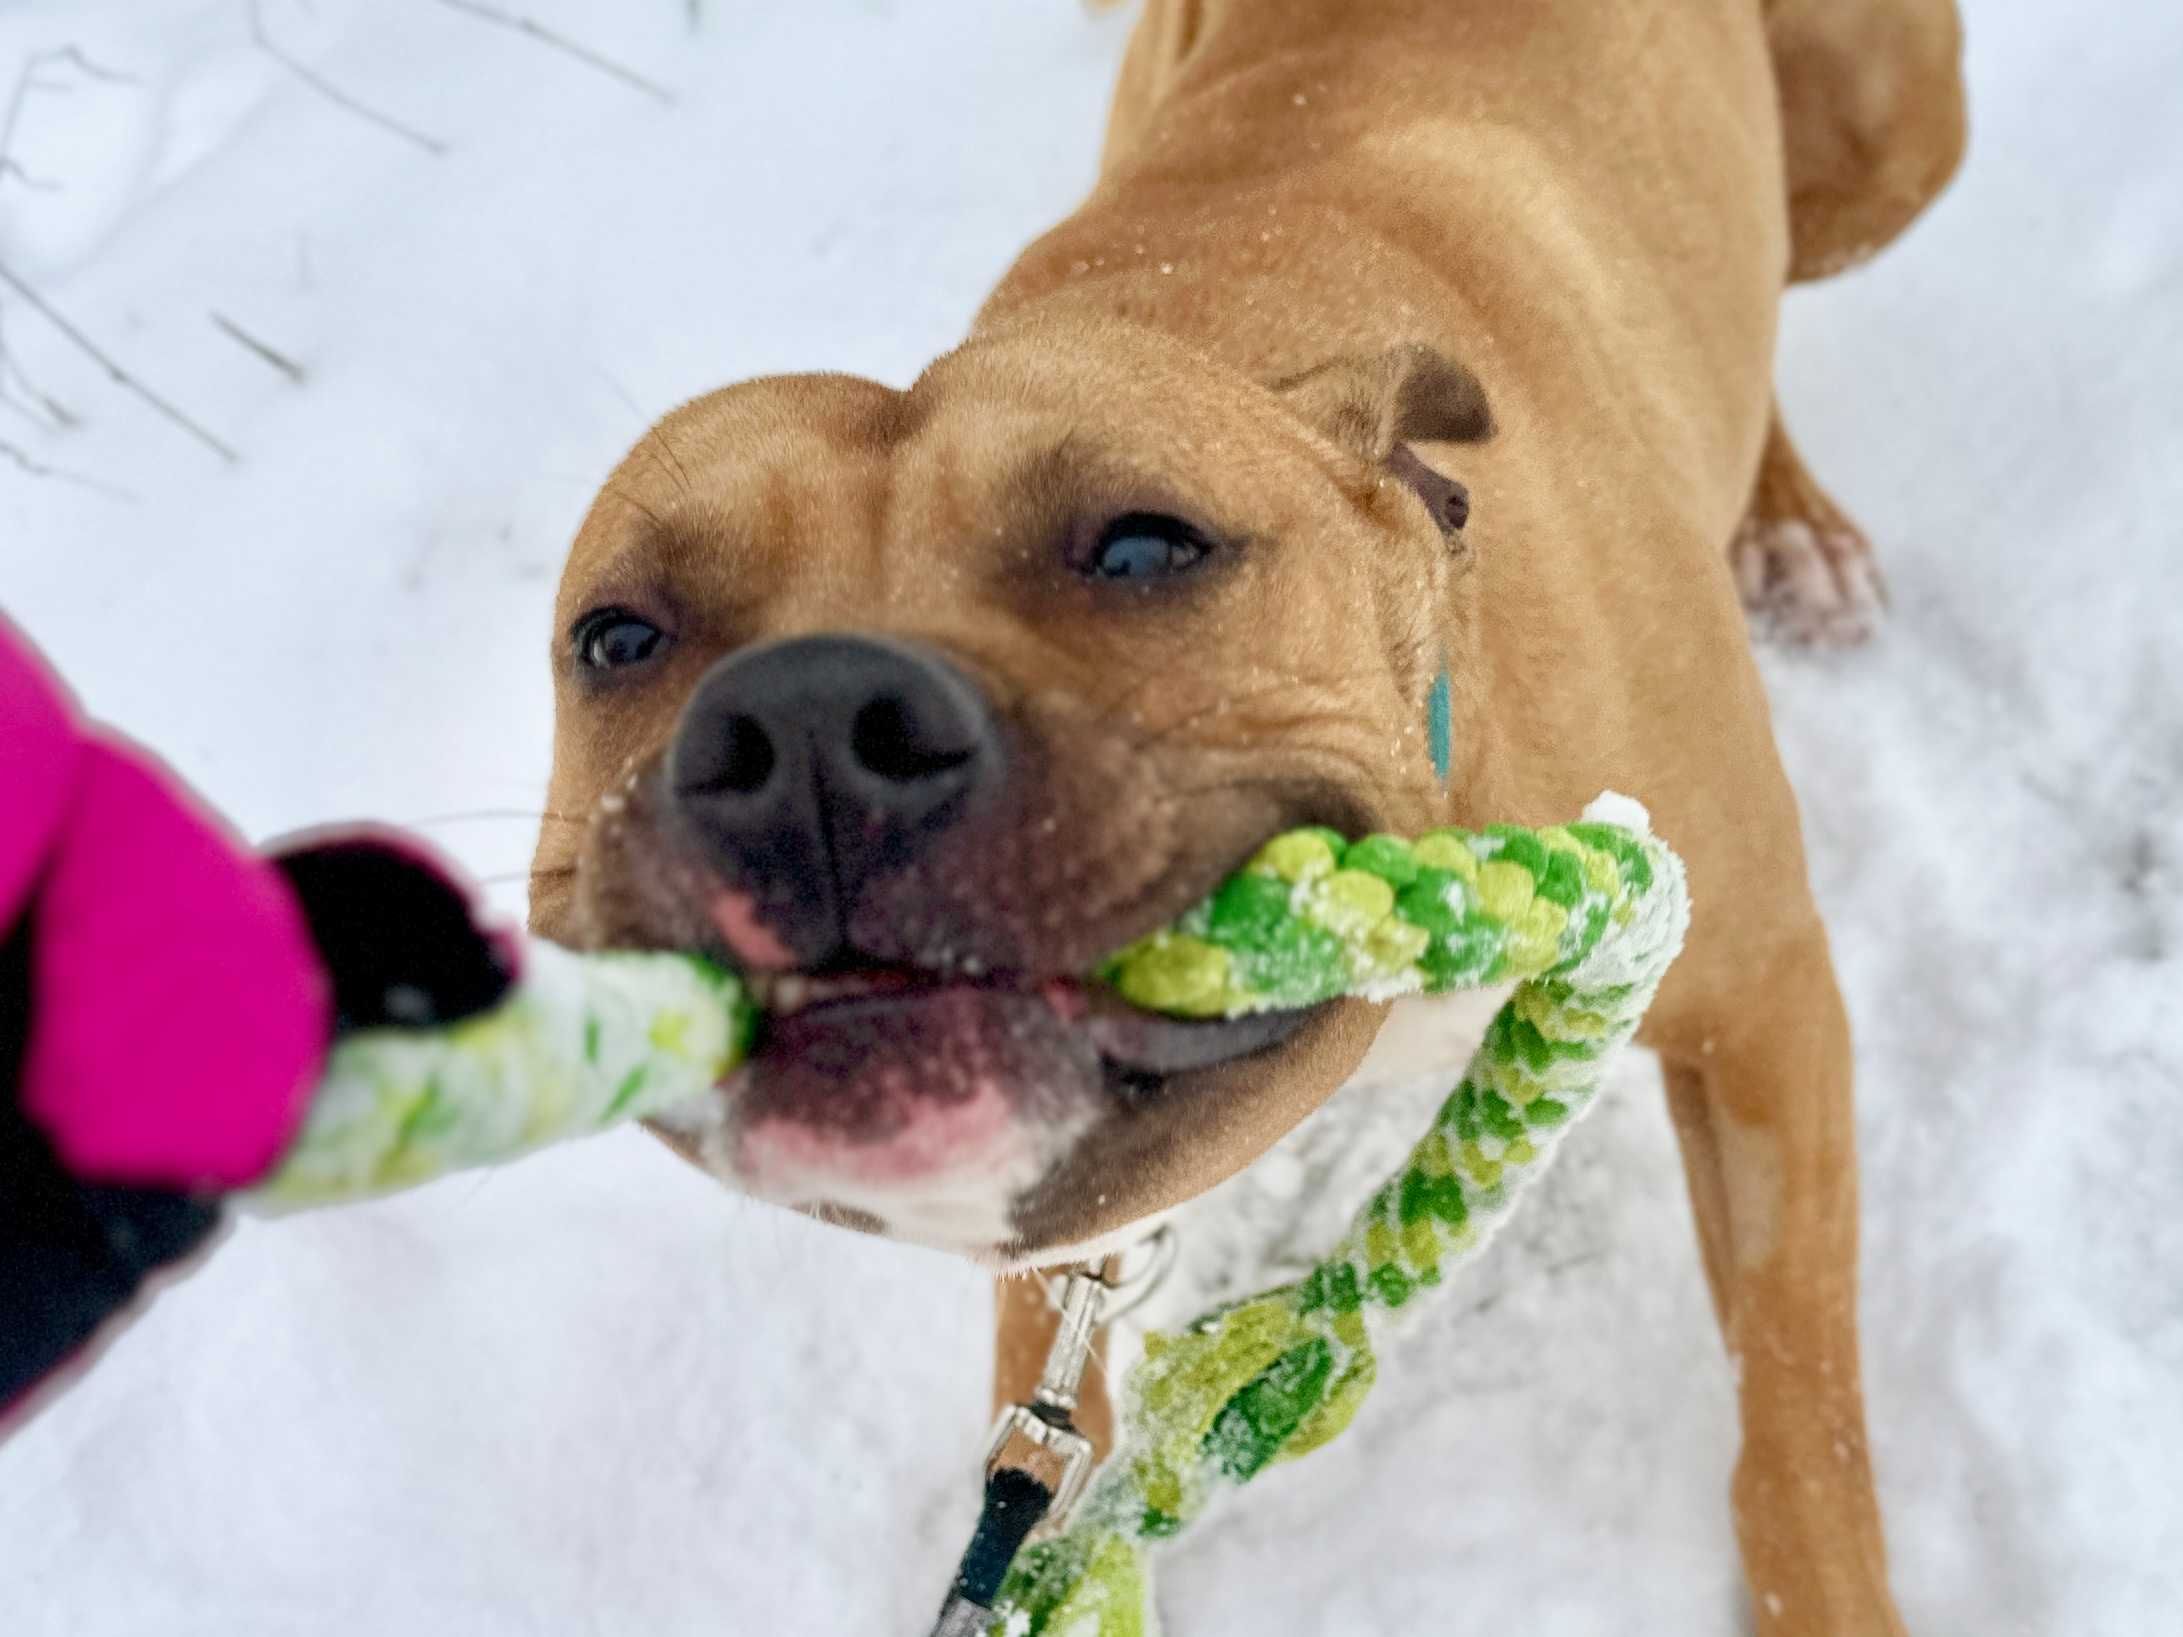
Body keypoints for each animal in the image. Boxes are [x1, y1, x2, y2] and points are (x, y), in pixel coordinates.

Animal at [528, 6, 1964, 1632]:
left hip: (1891, 133)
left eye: (1144, 548)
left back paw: (1785, 517)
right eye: (620, 637)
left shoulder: (1760, 1001)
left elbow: (1794, 1397)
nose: (807, 729)